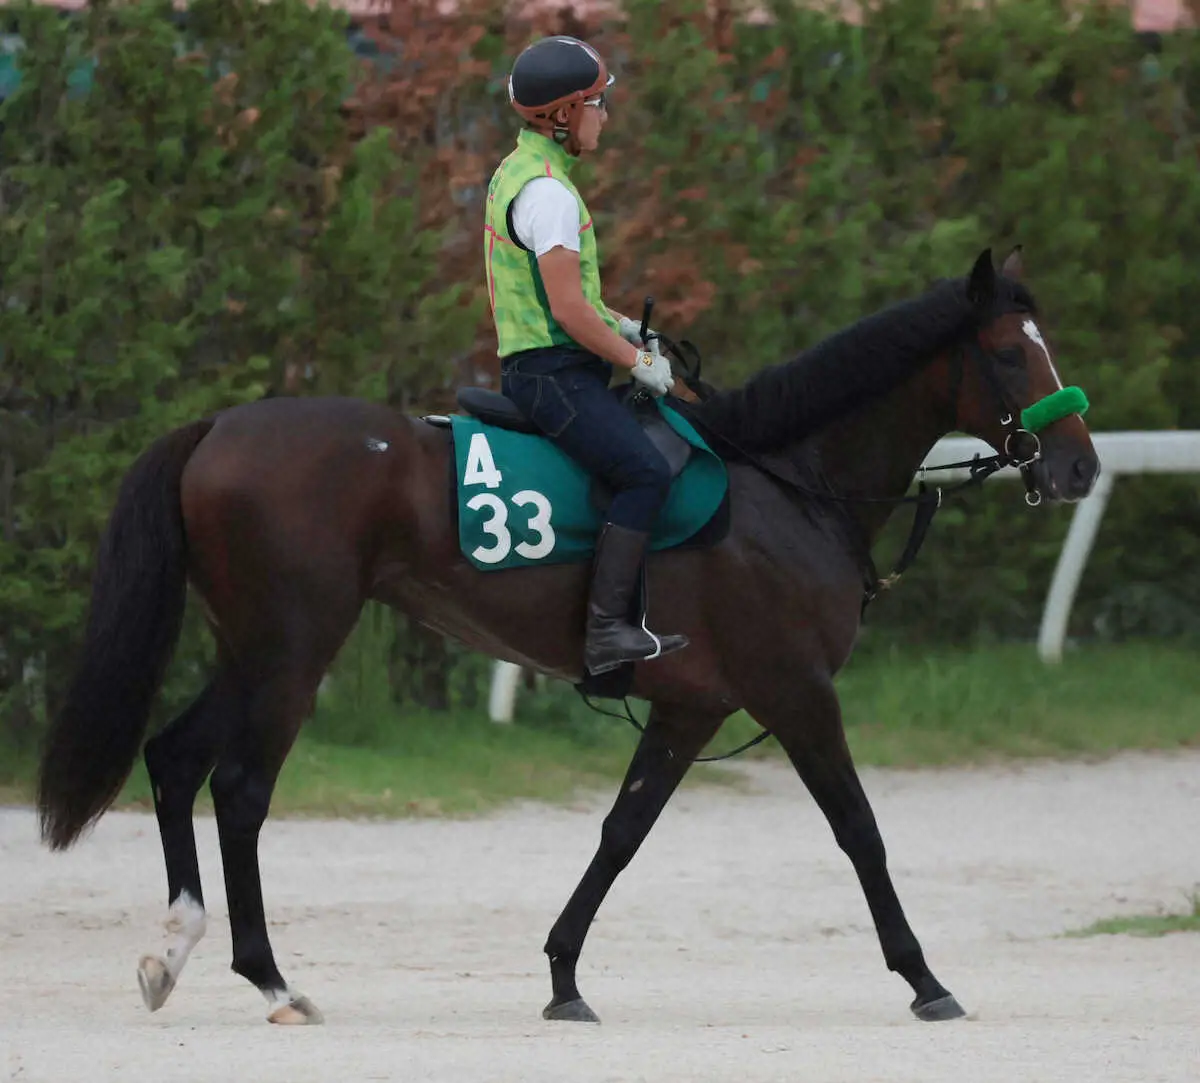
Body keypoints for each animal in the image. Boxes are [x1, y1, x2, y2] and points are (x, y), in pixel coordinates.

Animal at [32, 246, 1099, 1027]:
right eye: (1012, 354)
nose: (1081, 467)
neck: (788, 477)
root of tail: (215, 428)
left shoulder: (690, 707)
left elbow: (622, 832)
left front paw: (561, 975)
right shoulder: (795, 689)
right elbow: (859, 829)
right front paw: (925, 977)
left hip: (251, 648)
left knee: (173, 759)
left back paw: (173, 949)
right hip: (295, 648)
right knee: (242, 789)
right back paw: (272, 978)